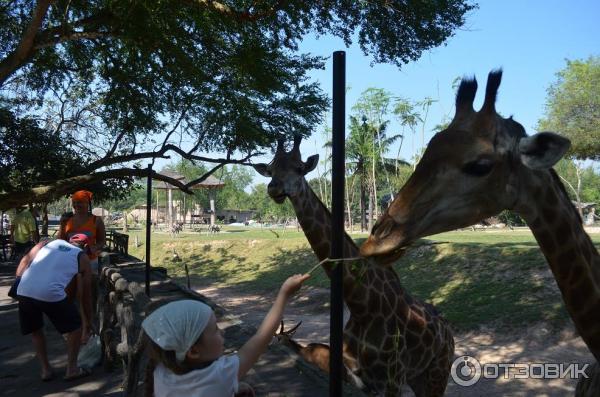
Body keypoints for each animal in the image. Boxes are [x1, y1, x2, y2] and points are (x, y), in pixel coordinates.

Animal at [253, 137, 454, 396]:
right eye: (271, 170)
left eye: (299, 168)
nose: (274, 189)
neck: (361, 306)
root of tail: (448, 330)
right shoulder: (361, 379)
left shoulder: (392, 379)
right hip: (419, 376)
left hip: (439, 370)